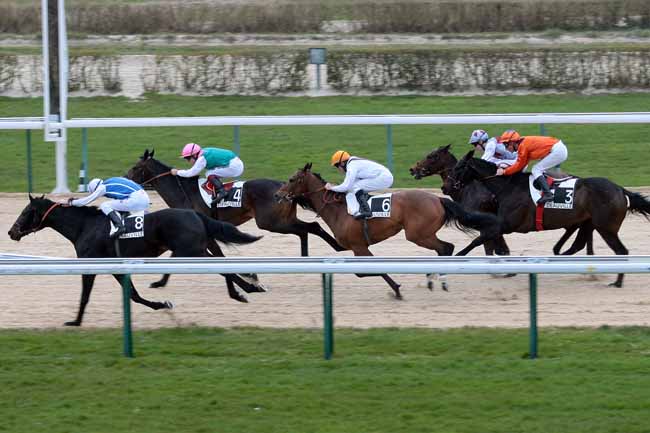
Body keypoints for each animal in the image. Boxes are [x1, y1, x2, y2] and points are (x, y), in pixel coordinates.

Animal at [7, 195, 260, 324]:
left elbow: (85, 295)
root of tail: (194, 213)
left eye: (25, 212)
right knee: (222, 265)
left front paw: (75, 322)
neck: (84, 227)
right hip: (192, 249)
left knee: (223, 268)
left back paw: (246, 289)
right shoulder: (116, 267)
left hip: (191, 250)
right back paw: (244, 289)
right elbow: (133, 295)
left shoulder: (91, 265)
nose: (11, 232)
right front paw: (162, 304)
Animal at [270, 162, 498, 296]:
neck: (339, 208)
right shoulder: (350, 246)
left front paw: (396, 289)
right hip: (423, 234)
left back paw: (438, 279)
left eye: (291, 179)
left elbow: (368, 271)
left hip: (418, 234)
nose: (277, 195)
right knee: (444, 249)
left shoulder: (359, 247)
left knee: (446, 248)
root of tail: (438, 199)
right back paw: (433, 277)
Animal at [448, 150, 648, 286]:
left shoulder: (507, 224)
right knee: (578, 245)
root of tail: (620, 190)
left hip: (606, 227)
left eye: (459, 167)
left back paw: (617, 282)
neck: (507, 187)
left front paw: (457, 257)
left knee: (622, 251)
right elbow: (490, 241)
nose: (447, 186)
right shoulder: (501, 224)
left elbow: (479, 239)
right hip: (589, 223)